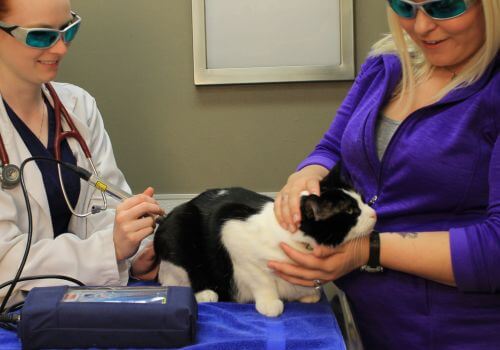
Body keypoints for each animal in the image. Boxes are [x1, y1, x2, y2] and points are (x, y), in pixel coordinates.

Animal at [153, 167, 376, 318]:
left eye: (363, 200)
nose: (374, 213)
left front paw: (307, 294)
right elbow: (261, 279)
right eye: (350, 211)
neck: (296, 241)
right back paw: (205, 294)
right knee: (175, 281)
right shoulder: (230, 229)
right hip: (178, 230)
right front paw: (270, 303)